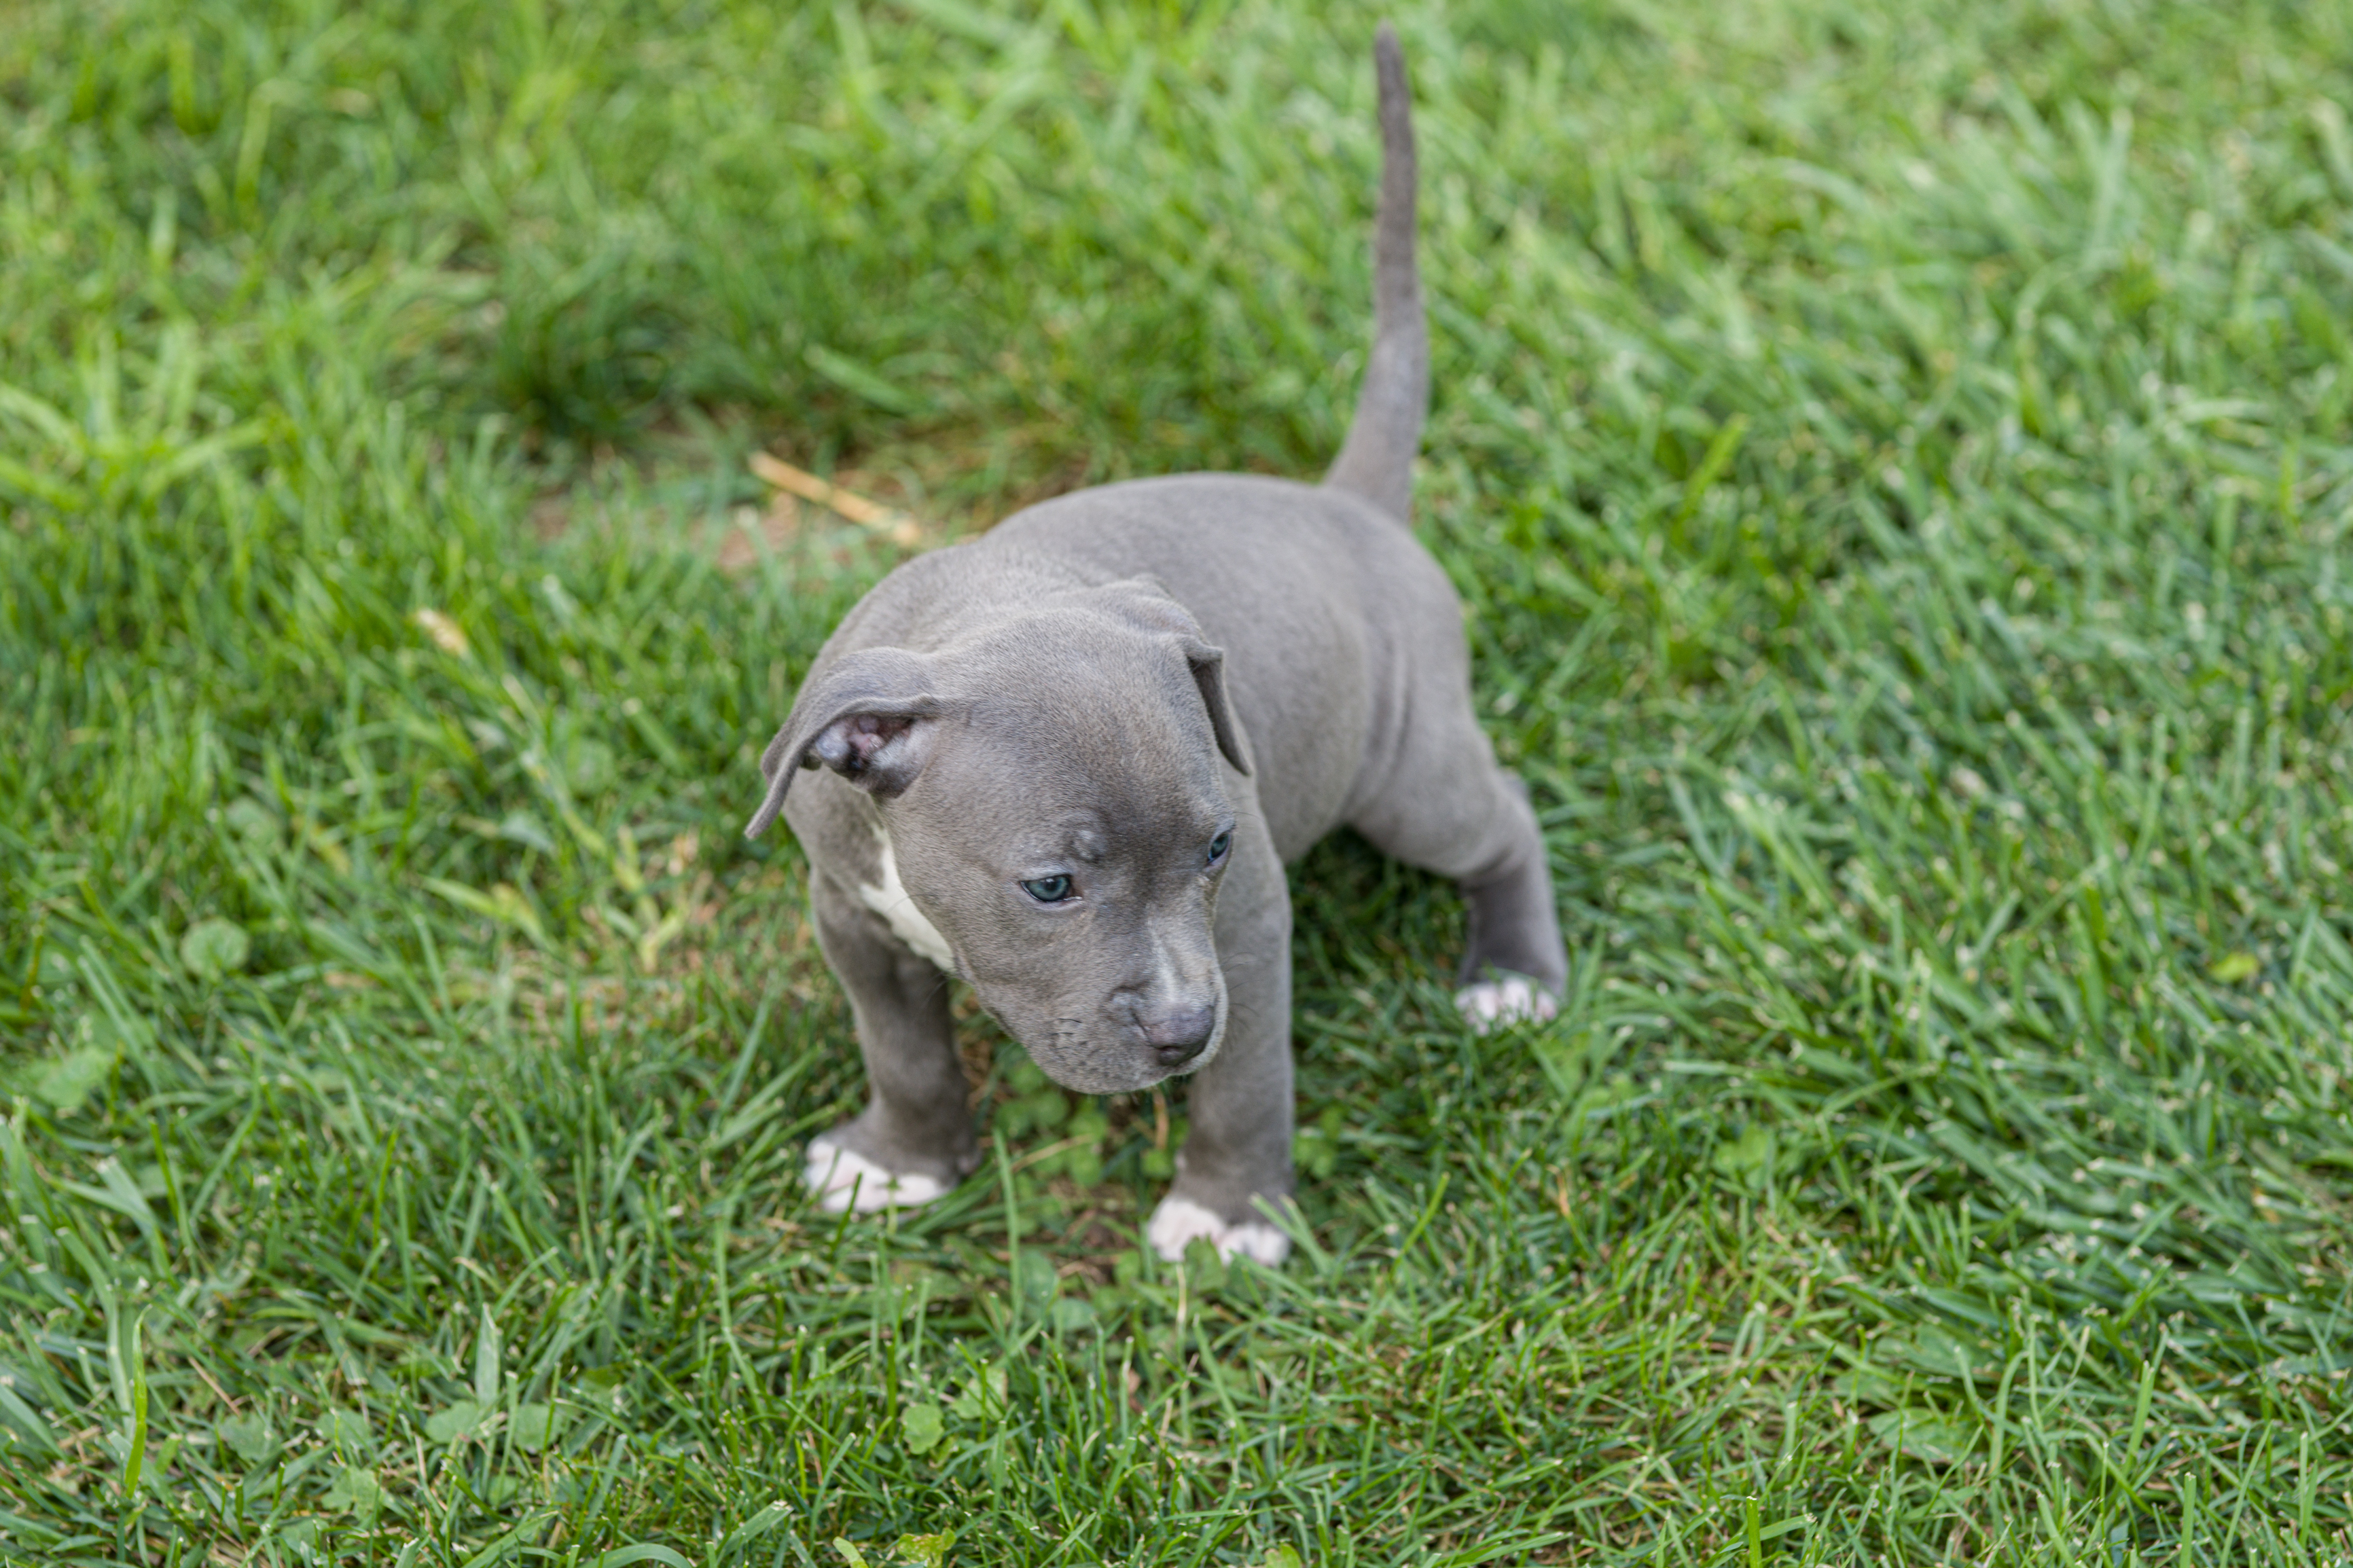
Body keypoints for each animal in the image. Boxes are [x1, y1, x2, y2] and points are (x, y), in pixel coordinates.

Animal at [748, 31, 1562, 1269]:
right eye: (1051, 884)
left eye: (1217, 845)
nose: (1181, 1025)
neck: (984, 604)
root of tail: (1352, 504)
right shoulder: (849, 917)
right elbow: (905, 1049)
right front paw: (901, 1159)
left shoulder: (1249, 931)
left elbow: (1249, 1080)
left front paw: (1229, 1211)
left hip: (1409, 773)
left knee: (1502, 815)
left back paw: (1511, 974)